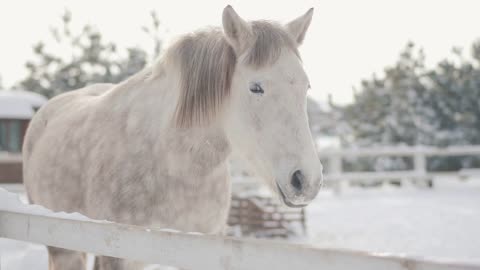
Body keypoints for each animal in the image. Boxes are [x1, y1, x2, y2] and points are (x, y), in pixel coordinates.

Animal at [22, 6, 322, 270]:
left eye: (306, 86)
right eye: (256, 87)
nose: (306, 180)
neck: (173, 164)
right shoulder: (118, 256)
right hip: (64, 251)